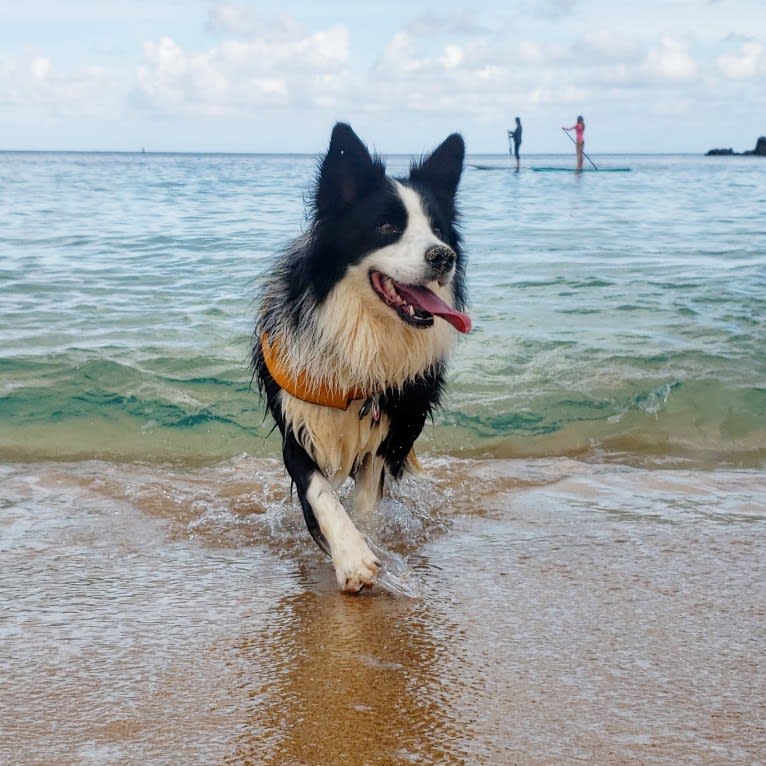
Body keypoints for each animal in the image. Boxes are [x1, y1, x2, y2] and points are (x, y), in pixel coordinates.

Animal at [254, 124, 468, 592]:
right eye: (387, 226)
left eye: (439, 229)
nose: (444, 256)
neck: (364, 331)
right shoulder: (297, 423)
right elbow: (320, 491)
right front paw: (352, 557)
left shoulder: (392, 428)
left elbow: (367, 499)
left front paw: (369, 542)